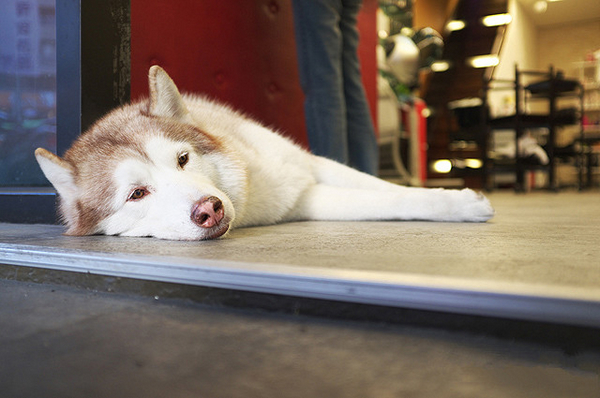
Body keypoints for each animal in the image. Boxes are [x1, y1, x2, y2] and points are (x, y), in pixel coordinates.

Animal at [34, 66, 492, 239]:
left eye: (183, 159)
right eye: (137, 194)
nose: (210, 209)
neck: (250, 176)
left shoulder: (313, 164)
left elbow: (386, 187)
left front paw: (453, 198)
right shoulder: (306, 197)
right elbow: (386, 201)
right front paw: (458, 204)